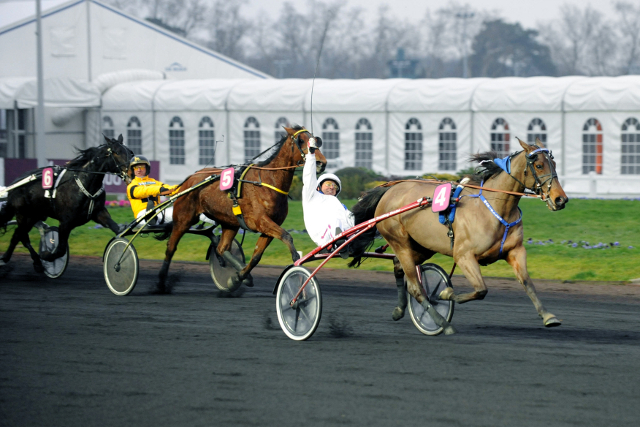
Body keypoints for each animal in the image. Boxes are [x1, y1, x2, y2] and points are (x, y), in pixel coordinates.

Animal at [0, 135, 131, 272]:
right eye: (116, 152)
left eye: (130, 152)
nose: (131, 171)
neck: (84, 184)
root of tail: (14, 185)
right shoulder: (65, 222)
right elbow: (61, 250)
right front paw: (46, 255)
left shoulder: (99, 213)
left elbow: (116, 228)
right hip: (23, 215)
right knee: (22, 236)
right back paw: (32, 261)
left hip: (33, 216)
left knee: (17, 235)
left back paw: (10, 258)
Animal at [158, 125, 328, 292]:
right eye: (301, 140)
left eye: (316, 140)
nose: (322, 162)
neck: (267, 182)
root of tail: (189, 179)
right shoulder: (261, 221)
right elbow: (287, 236)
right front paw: (296, 260)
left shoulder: (269, 226)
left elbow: (256, 256)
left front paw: (238, 277)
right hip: (184, 219)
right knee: (170, 248)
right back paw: (161, 283)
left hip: (230, 223)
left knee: (221, 248)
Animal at [350, 137, 568, 334]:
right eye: (538, 165)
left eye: (554, 164)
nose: (561, 199)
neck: (495, 208)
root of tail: (389, 190)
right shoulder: (464, 255)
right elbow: (480, 290)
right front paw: (445, 293)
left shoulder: (515, 251)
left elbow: (528, 283)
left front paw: (548, 316)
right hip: (399, 241)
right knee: (414, 287)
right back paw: (442, 323)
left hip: (422, 246)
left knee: (398, 267)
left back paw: (399, 309)